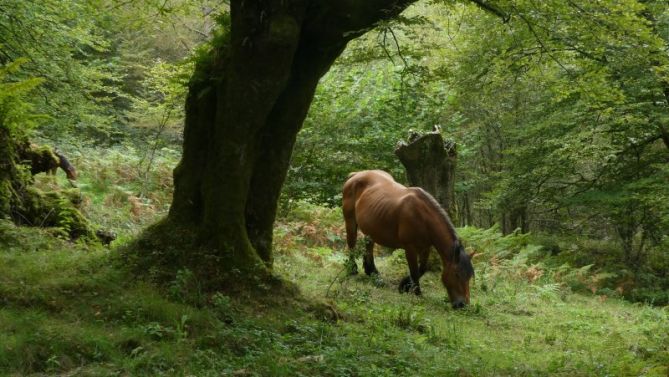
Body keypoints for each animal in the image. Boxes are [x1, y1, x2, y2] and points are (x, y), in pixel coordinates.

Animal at [342, 170, 472, 308]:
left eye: (469, 276)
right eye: (457, 274)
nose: (462, 304)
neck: (423, 217)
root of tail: (356, 174)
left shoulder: (426, 247)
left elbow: (422, 268)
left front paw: (404, 285)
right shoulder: (410, 248)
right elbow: (414, 271)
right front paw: (417, 292)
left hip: (370, 228)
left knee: (369, 246)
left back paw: (373, 273)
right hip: (350, 222)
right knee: (351, 244)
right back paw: (352, 269)